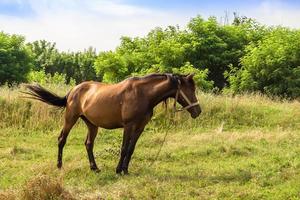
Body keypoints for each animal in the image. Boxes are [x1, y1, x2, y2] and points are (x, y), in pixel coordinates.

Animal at [24, 72, 202, 174]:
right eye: (190, 90)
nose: (198, 111)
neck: (143, 94)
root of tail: (74, 90)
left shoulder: (140, 127)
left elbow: (131, 149)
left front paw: (126, 170)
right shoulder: (128, 126)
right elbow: (123, 149)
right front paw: (118, 170)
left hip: (92, 124)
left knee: (88, 144)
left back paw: (94, 168)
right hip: (70, 118)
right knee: (62, 139)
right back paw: (60, 166)